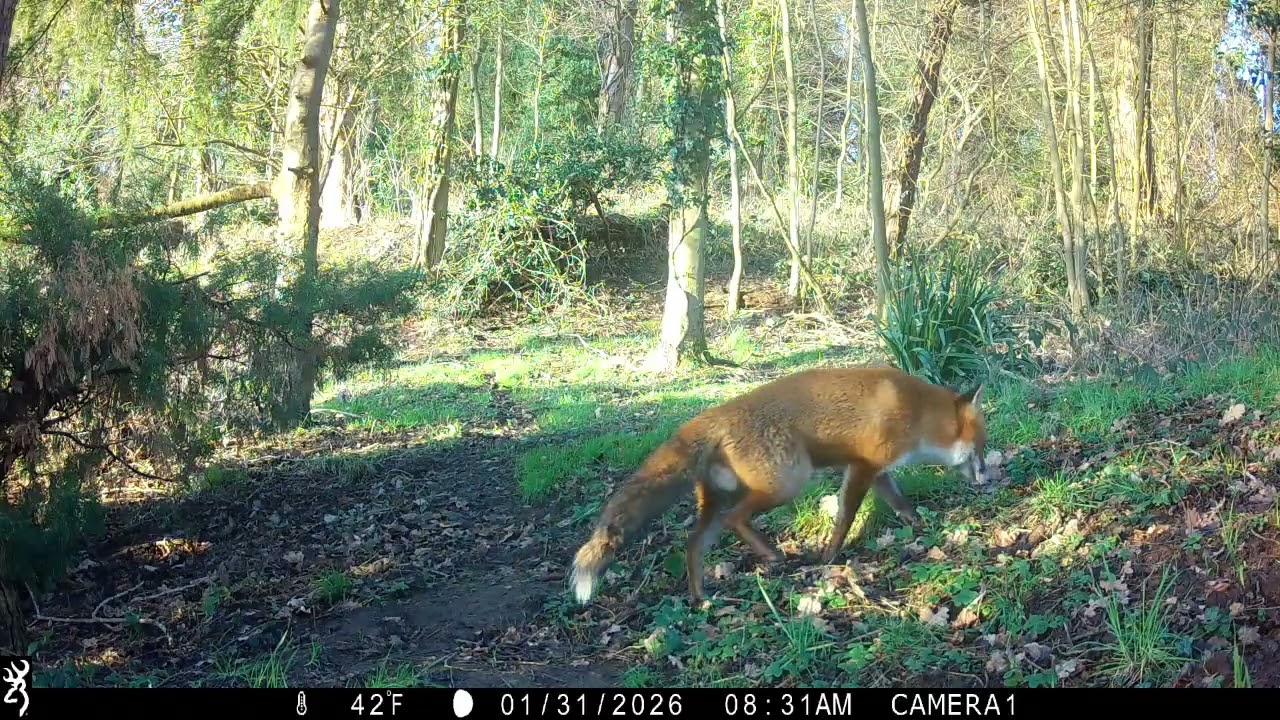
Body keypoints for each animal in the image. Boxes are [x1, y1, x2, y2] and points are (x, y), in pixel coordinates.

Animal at [569, 364, 989, 605]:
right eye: (983, 447)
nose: (991, 478)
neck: (917, 411)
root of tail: (708, 417)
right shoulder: (863, 466)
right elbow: (846, 517)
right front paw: (829, 556)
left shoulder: (878, 470)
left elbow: (901, 504)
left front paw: (919, 526)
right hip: (787, 482)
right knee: (736, 520)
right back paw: (772, 557)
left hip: (722, 499)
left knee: (693, 542)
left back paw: (699, 597)